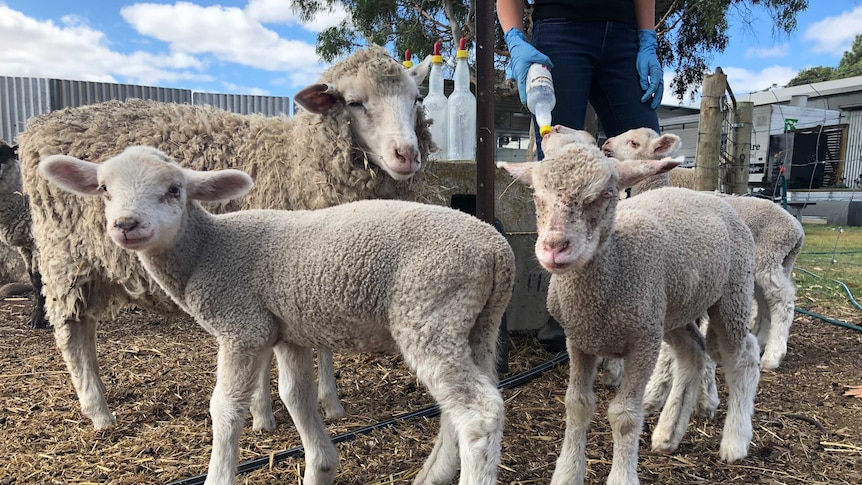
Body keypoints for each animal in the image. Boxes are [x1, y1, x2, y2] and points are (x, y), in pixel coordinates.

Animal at [19, 46, 436, 432]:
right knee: (73, 335)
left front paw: (331, 403)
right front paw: (262, 415)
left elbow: (321, 344)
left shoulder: (317, 268)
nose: (407, 154)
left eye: (416, 99)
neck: (295, 160)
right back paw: (99, 413)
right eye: (354, 102)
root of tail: (35, 127)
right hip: (65, 258)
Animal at [40, 146, 512, 484]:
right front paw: (321, 466)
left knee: (479, 412)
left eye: (174, 189)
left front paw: (220, 474)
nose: (126, 225)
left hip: (430, 308)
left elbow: (226, 408)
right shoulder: (286, 331)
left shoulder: (242, 327)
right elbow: (293, 395)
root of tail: (497, 251)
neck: (207, 250)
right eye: (104, 188)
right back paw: (431, 475)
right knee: (462, 405)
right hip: (476, 325)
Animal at [496, 138, 760, 482]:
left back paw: (735, 440)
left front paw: (622, 475)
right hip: (670, 311)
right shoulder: (579, 341)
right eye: (537, 196)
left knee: (745, 357)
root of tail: (718, 198)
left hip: (732, 293)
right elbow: (577, 405)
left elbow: (624, 416)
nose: (554, 248)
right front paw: (568, 473)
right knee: (693, 353)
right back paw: (668, 434)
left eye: (604, 195)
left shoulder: (642, 344)